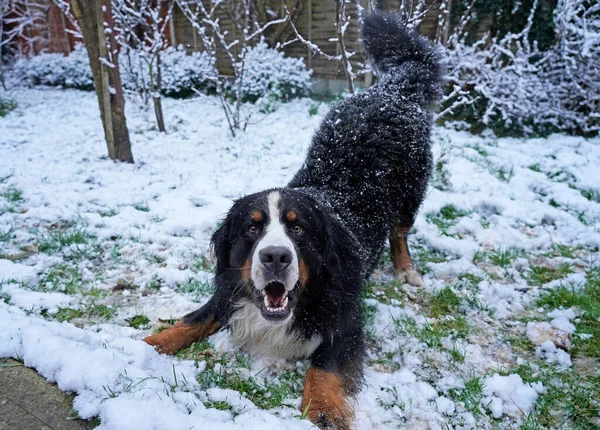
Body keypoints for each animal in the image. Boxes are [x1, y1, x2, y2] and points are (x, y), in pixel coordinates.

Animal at [144, 13, 442, 430]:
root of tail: (391, 89)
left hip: (410, 194)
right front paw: (142, 345)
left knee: (399, 233)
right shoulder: (230, 289)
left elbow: (324, 368)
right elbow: (191, 320)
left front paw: (324, 411)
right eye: (252, 228)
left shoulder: (344, 320)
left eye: (298, 228)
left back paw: (407, 270)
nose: (275, 258)